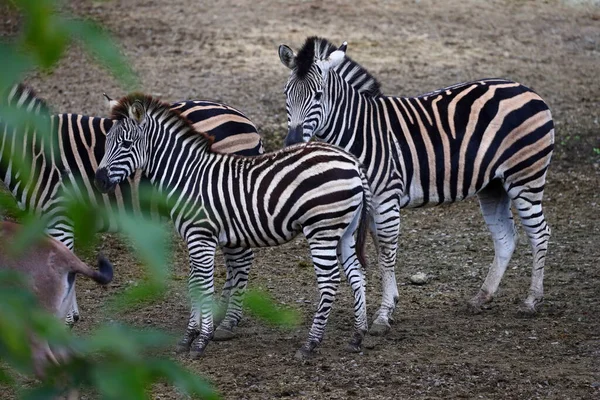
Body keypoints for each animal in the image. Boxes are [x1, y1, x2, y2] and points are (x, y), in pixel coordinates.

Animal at [0, 83, 262, 332]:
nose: (100, 181)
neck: (31, 152)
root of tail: (242, 117)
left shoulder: (60, 215)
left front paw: (63, 323)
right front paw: (69, 317)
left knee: (241, 259)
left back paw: (229, 321)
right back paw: (221, 315)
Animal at [95, 93, 376, 360]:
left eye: (126, 144)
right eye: (106, 143)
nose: (99, 181)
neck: (187, 175)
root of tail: (351, 161)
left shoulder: (201, 236)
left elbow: (205, 285)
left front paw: (201, 341)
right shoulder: (193, 236)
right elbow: (194, 284)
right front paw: (188, 338)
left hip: (322, 229)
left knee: (329, 280)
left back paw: (310, 344)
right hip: (345, 230)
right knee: (356, 273)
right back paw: (357, 336)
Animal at [278, 37, 556, 332]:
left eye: (318, 96)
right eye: (286, 94)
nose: (292, 144)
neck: (361, 130)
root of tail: (528, 90)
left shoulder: (386, 197)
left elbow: (386, 251)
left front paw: (383, 314)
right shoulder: (370, 202)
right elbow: (375, 249)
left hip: (525, 177)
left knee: (540, 233)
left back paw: (531, 301)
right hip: (493, 186)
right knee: (505, 238)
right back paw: (482, 297)